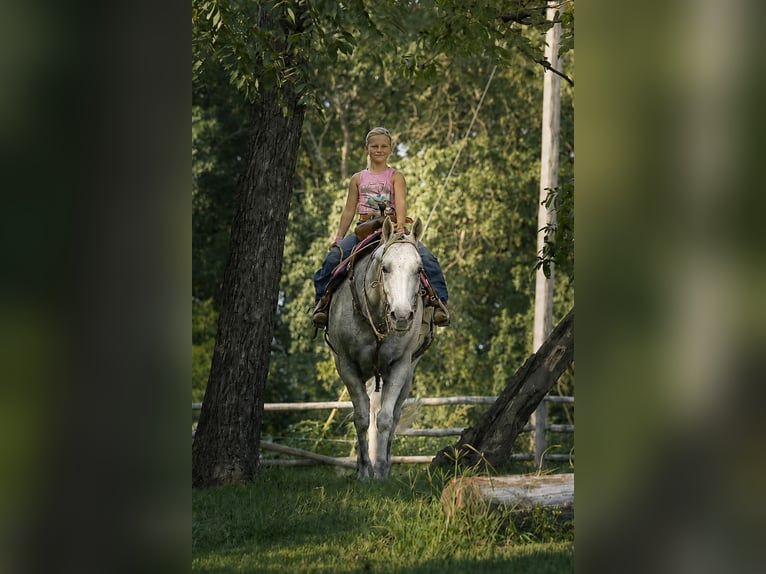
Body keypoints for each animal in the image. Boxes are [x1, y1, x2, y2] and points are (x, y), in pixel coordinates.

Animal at [326, 217, 434, 479]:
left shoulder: (399, 366)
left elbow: (385, 419)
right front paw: (365, 470)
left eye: (419, 269)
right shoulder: (346, 365)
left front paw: (381, 470)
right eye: (385, 268)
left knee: (392, 415)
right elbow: (362, 417)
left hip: (407, 372)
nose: (402, 316)